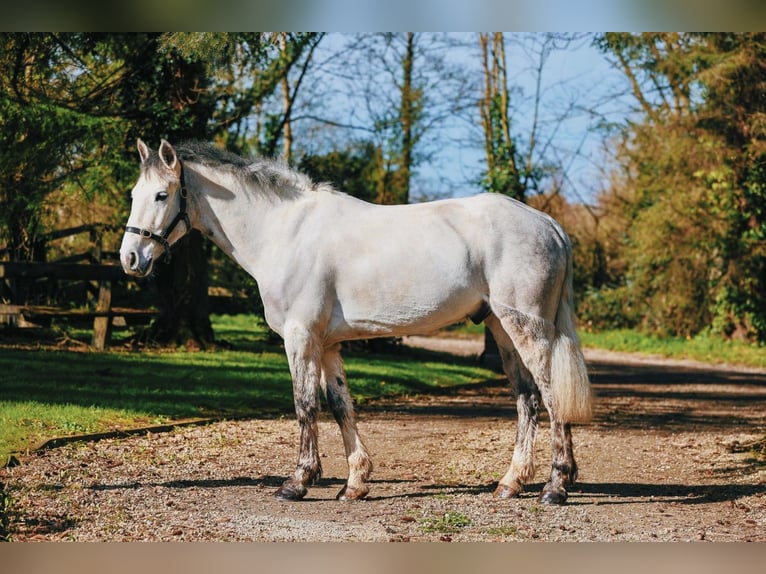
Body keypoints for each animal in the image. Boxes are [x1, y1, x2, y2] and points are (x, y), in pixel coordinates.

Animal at [120, 138, 593, 505]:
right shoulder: (327, 343)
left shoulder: (300, 337)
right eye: (133, 194)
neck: (284, 231)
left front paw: (298, 482)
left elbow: (305, 405)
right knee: (527, 399)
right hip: (500, 328)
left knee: (551, 396)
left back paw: (555, 487)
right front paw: (355, 483)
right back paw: (513, 483)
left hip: (527, 329)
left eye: (162, 195)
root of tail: (548, 224)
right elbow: (340, 404)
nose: (130, 259)